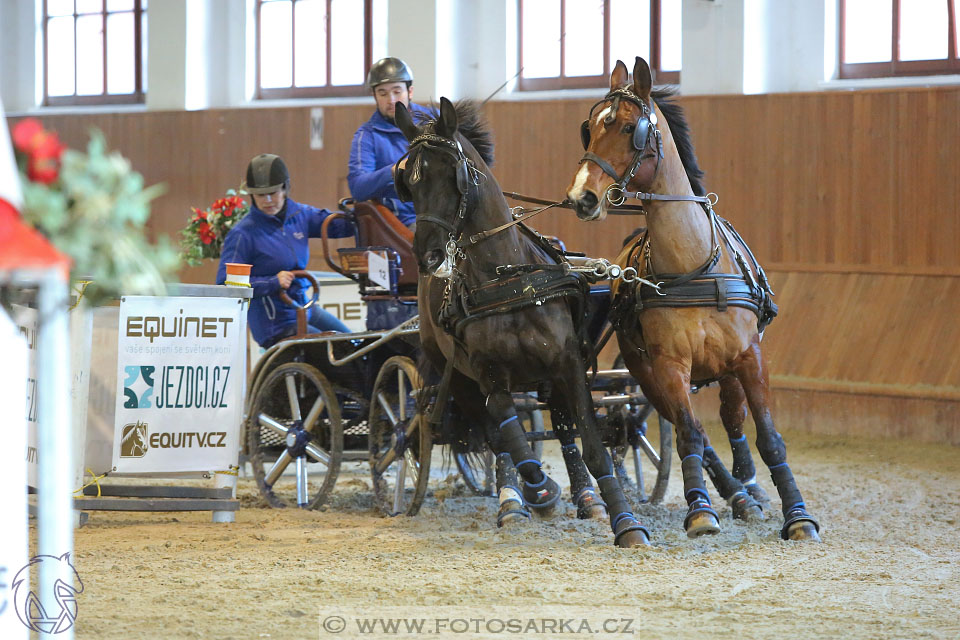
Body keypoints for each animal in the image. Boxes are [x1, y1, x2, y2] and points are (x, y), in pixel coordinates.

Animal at [394, 97, 648, 548]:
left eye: (450, 173)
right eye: (407, 180)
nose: (427, 256)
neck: (508, 279)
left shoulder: (568, 365)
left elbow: (592, 443)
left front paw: (625, 522)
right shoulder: (489, 376)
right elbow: (512, 439)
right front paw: (539, 492)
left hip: (548, 379)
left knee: (562, 429)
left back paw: (587, 500)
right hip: (458, 379)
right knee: (497, 436)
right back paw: (514, 503)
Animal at [568, 57, 820, 544]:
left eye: (628, 128)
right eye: (589, 127)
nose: (581, 197)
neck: (693, 264)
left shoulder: (751, 357)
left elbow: (769, 437)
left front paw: (797, 514)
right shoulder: (668, 367)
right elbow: (688, 434)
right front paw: (700, 510)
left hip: (727, 369)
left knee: (732, 416)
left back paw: (748, 489)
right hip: (646, 376)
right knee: (697, 432)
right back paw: (732, 493)